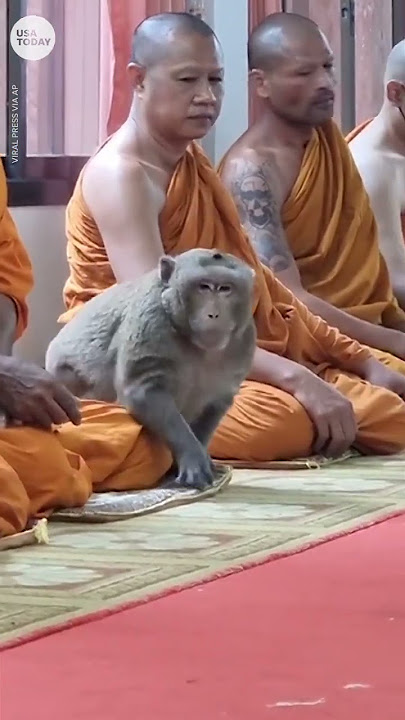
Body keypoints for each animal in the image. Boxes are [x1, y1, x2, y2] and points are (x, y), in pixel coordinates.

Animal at [45, 248, 256, 490]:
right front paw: (192, 457)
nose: (214, 314)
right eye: (204, 287)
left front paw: (200, 455)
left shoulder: (244, 344)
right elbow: (142, 391)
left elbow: (216, 403)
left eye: (225, 288)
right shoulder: (150, 322)